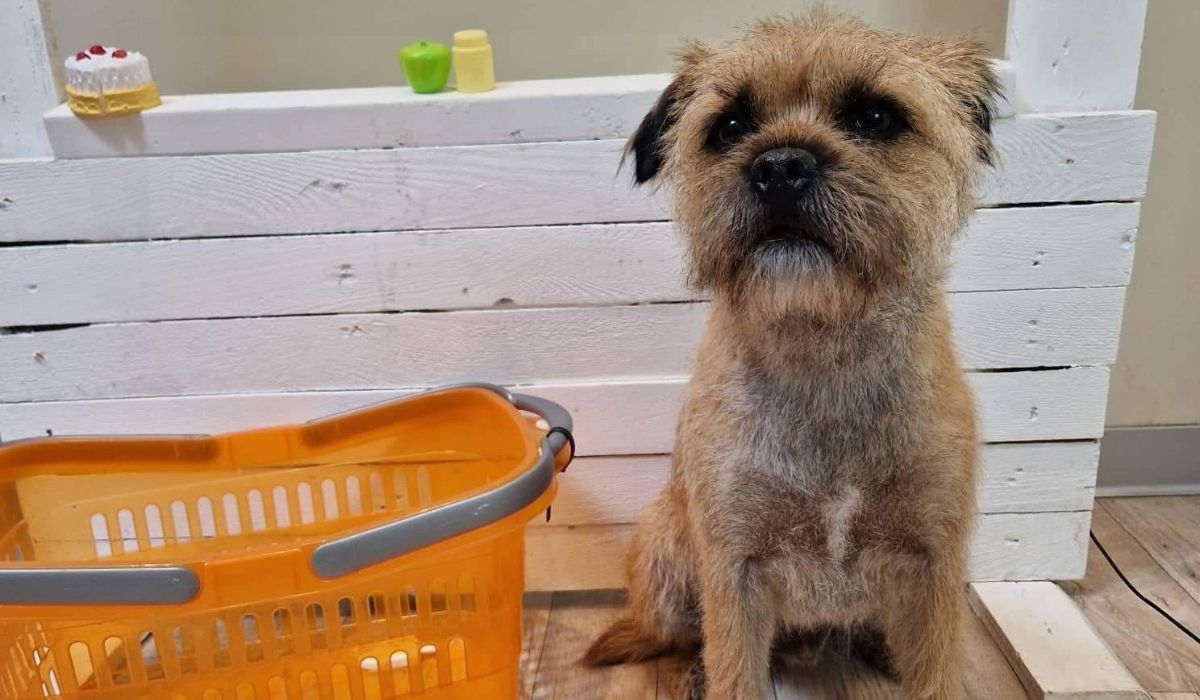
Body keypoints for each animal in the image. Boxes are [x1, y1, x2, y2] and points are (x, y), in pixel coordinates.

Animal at [585, 10, 998, 700]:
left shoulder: (934, 565)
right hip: (666, 555)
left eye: (875, 116)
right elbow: (733, 668)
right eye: (729, 127)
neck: (820, 350)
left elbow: (934, 670)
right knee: (680, 636)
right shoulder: (734, 571)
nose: (779, 166)